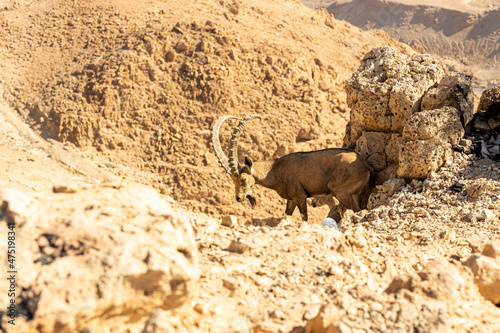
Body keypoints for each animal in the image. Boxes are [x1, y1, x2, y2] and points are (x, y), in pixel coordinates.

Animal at [212, 113, 376, 220]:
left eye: (244, 179)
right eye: (233, 180)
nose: (239, 198)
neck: (274, 170)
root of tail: (366, 165)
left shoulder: (300, 196)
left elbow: (304, 218)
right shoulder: (291, 200)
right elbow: (286, 216)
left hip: (341, 192)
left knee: (356, 210)